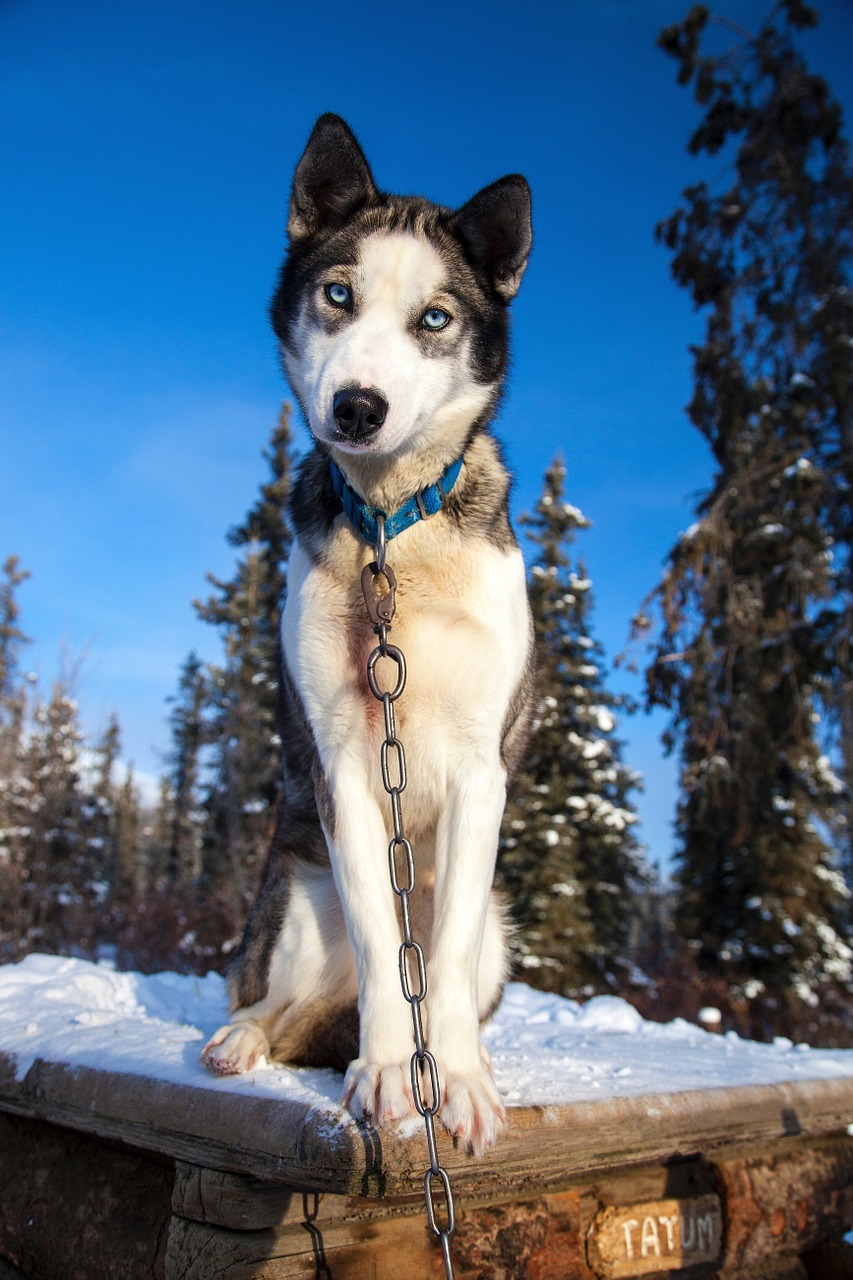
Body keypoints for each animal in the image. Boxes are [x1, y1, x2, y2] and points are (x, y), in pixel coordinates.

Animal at [201, 112, 532, 1152]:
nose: (356, 407)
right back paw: (240, 1038)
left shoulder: (478, 773)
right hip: (294, 909)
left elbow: (443, 960)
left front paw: (455, 1079)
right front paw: (391, 1072)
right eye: (337, 294)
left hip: (502, 931)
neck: (393, 530)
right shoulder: (346, 761)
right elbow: (389, 958)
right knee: (281, 1003)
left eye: (435, 319)